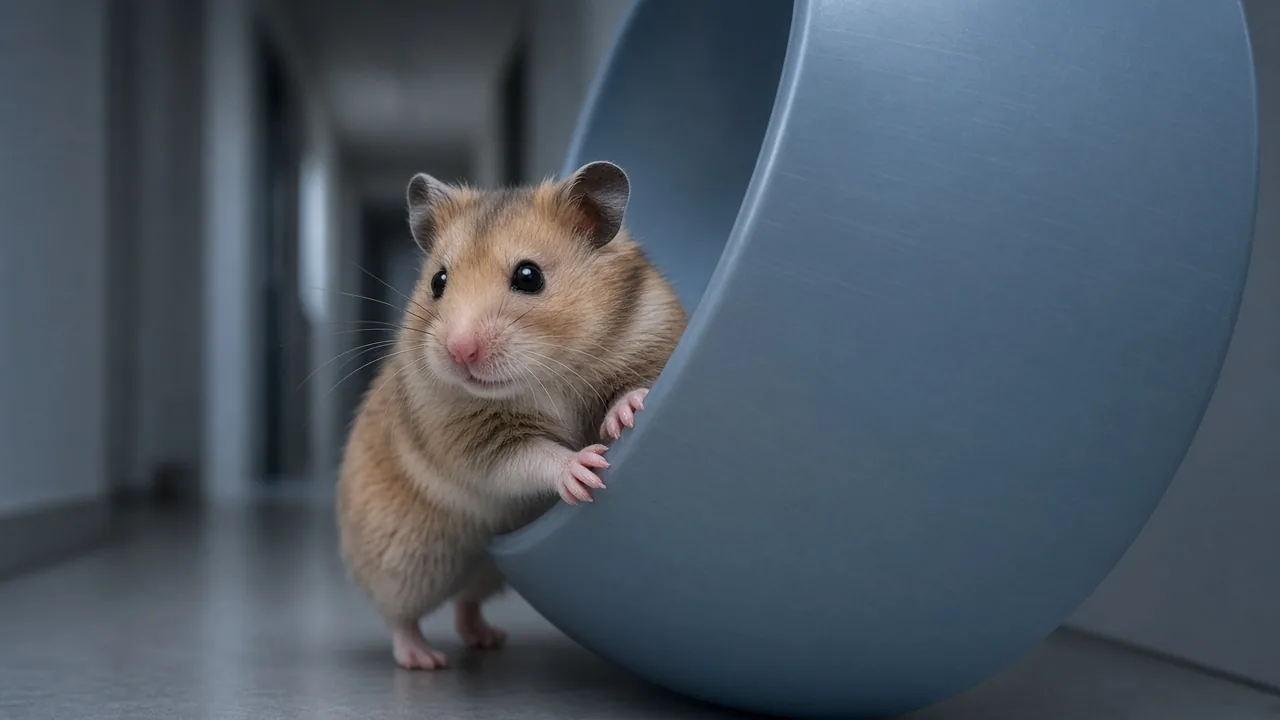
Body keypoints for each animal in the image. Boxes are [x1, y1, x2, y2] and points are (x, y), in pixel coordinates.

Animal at [336, 161, 687, 670]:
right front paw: (585, 470)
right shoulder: (476, 441)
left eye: (528, 276)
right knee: (400, 615)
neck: (546, 375)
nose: (459, 351)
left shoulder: (649, 334)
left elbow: (629, 386)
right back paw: (424, 658)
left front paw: (626, 412)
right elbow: (531, 456)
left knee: (465, 602)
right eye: (438, 281)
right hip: (404, 562)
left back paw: (486, 638)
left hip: (485, 573)